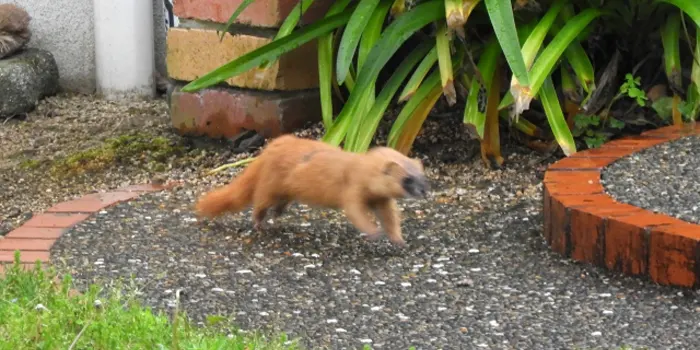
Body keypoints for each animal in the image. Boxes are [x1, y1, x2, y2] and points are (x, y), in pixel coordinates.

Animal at [194, 134, 430, 246]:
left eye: (423, 175)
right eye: (407, 179)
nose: (424, 191)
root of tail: (271, 147)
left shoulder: (382, 199)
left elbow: (390, 217)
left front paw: (398, 240)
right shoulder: (351, 189)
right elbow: (355, 212)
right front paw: (373, 232)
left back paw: (278, 215)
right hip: (270, 184)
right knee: (259, 202)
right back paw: (260, 223)